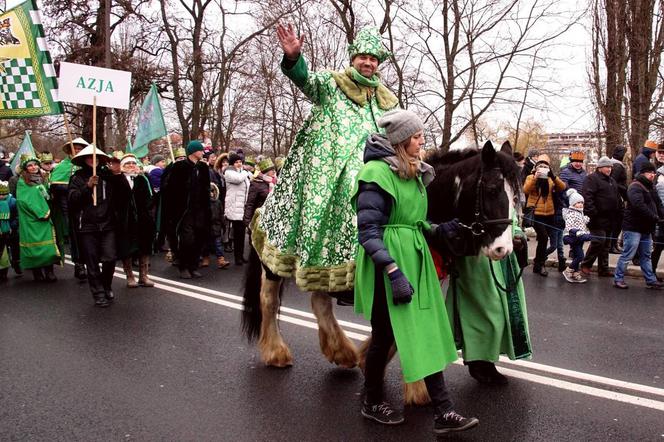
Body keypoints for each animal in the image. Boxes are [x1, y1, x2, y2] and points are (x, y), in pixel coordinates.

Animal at [241, 140, 520, 402]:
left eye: (517, 195)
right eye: (492, 189)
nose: (503, 248)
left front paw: (370, 362)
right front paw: (417, 387)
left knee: (319, 302)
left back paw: (342, 352)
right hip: (273, 266)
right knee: (268, 299)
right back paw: (276, 352)